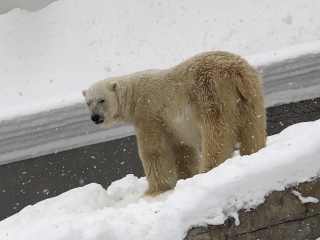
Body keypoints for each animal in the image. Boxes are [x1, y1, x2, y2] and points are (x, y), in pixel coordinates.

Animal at [82, 51, 264, 196]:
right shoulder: (171, 126)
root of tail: (235, 72)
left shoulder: (147, 112)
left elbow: (153, 150)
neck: (133, 94)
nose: (95, 117)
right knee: (253, 128)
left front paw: (155, 190)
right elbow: (182, 150)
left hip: (210, 95)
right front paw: (187, 175)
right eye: (88, 102)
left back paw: (209, 168)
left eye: (102, 100)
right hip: (250, 94)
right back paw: (254, 151)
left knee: (216, 135)